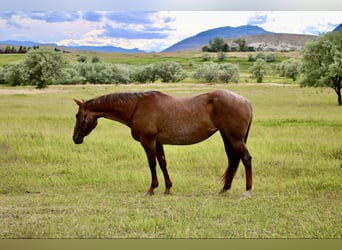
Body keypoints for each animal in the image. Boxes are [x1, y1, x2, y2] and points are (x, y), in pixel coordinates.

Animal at [73, 90, 254, 197]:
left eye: (78, 116)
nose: (75, 138)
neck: (136, 107)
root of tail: (245, 101)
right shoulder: (158, 143)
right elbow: (162, 163)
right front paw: (168, 188)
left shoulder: (148, 142)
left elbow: (152, 164)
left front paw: (152, 188)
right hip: (227, 137)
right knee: (233, 160)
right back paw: (224, 189)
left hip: (235, 138)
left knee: (245, 158)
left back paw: (247, 191)